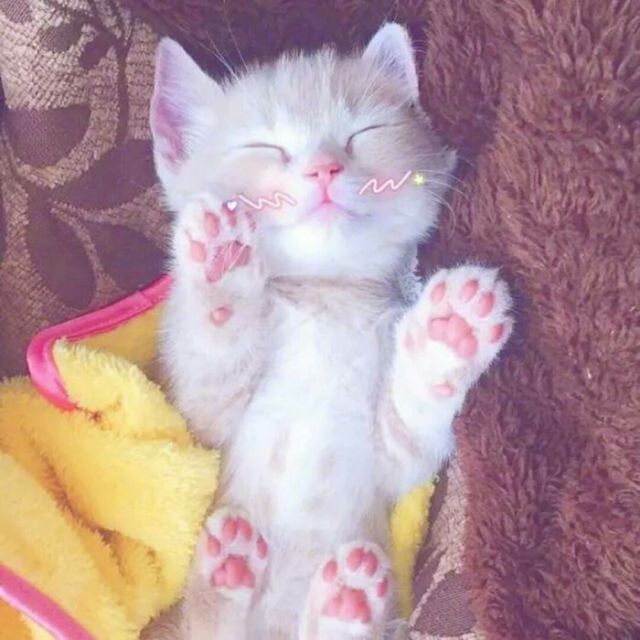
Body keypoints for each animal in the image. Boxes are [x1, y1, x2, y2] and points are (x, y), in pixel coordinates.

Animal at [148, 22, 513, 640]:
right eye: (264, 147)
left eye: (362, 133)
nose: (324, 168)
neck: (326, 296)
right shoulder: (202, 424)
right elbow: (212, 363)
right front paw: (221, 263)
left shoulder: (394, 467)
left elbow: (410, 429)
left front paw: (447, 334)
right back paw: (228, 572)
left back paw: (344, 599)